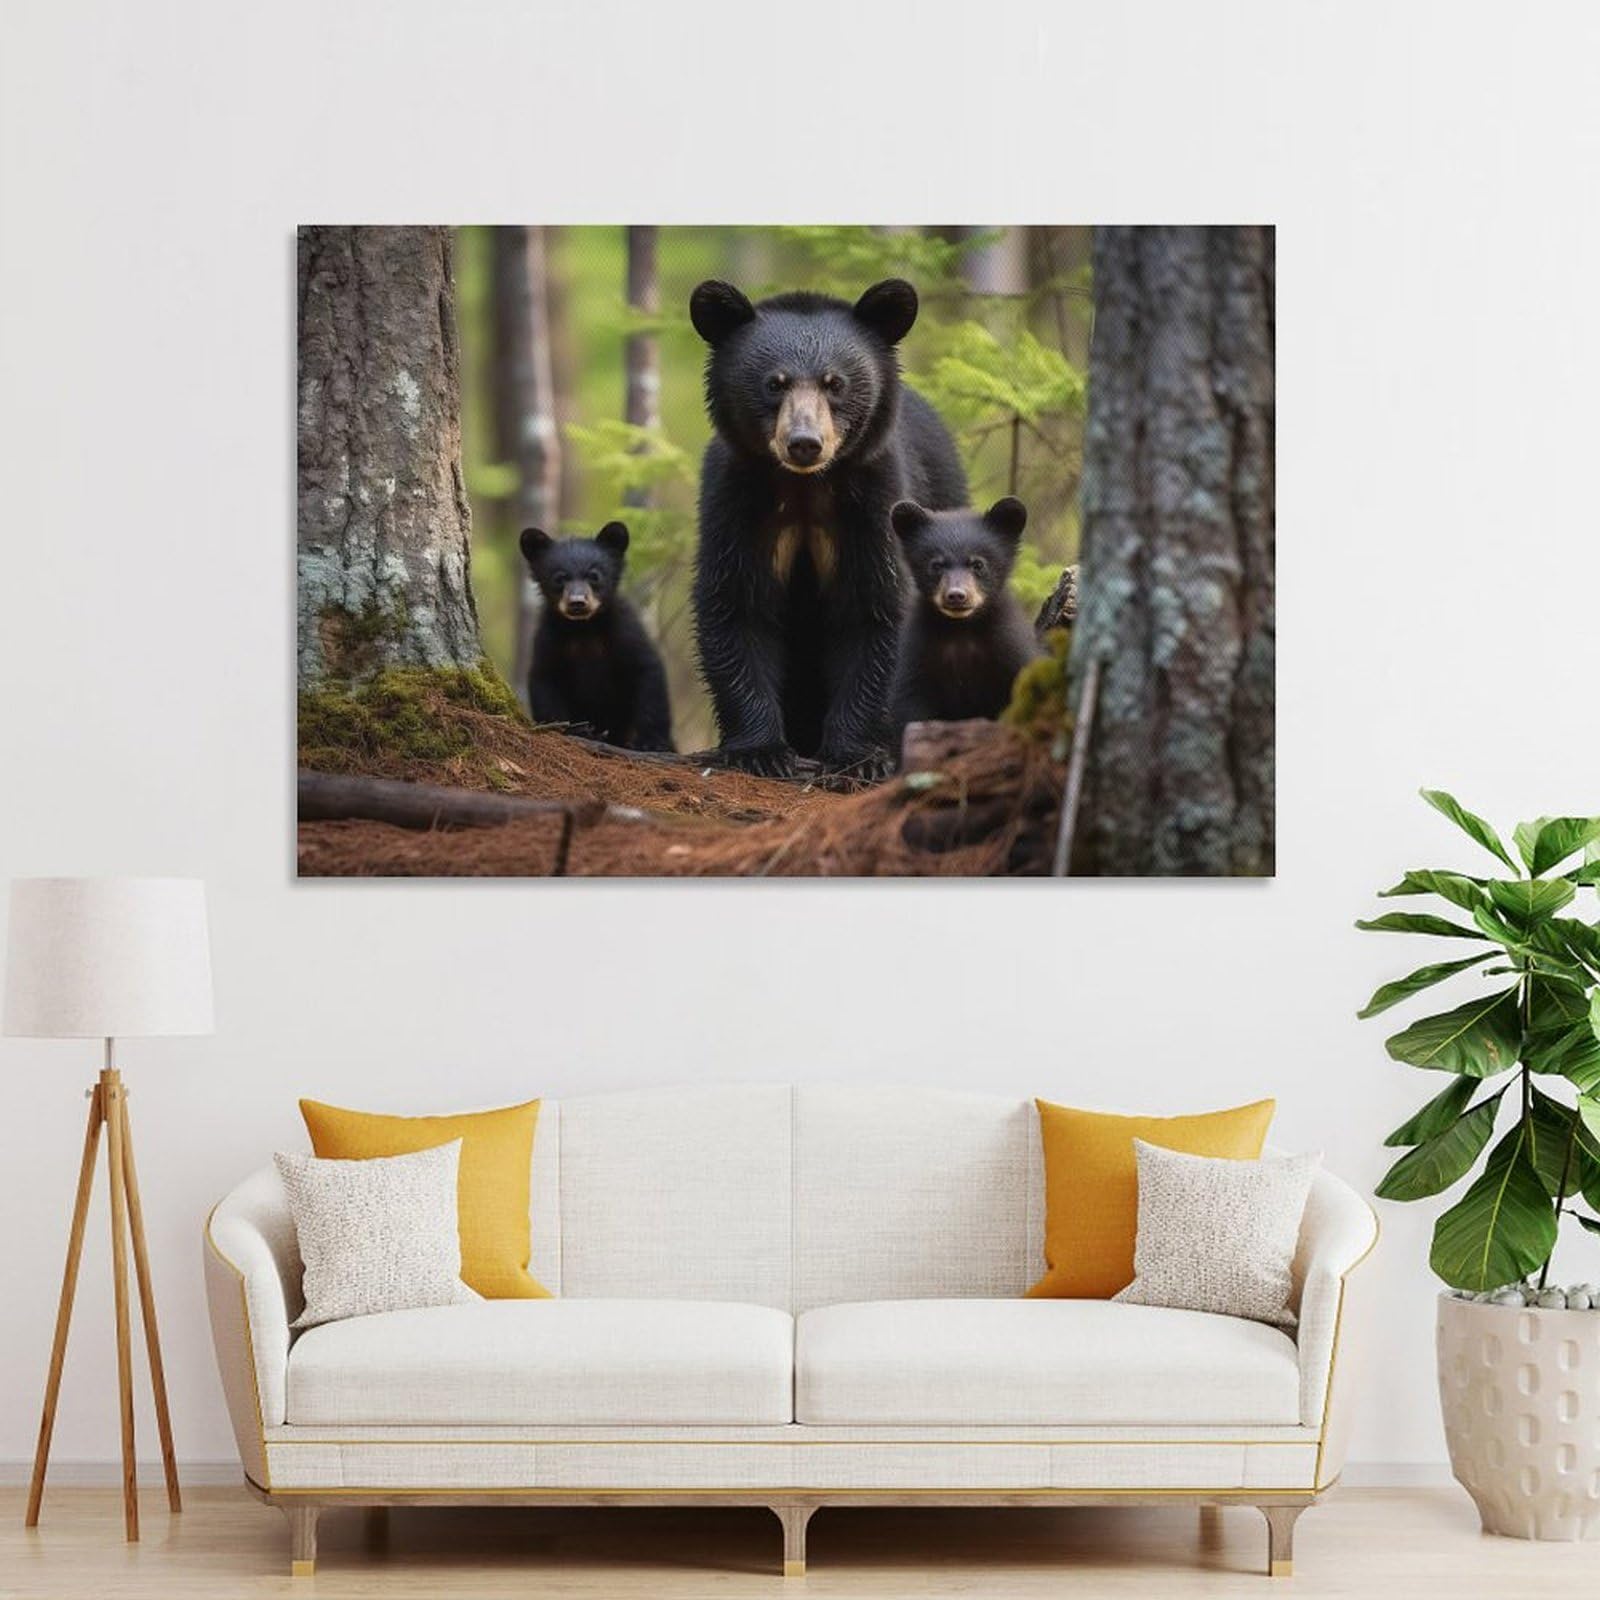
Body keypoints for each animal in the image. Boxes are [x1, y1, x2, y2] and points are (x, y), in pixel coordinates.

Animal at [518, 521, 675, 752]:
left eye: (594, 575)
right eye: (559, 578)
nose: (577, 602)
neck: (585, 629)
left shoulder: (625, 631)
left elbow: (648, 672)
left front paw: (652, 741)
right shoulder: (549, 639)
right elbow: (544, 679)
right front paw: (575, 730)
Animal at [689, 277, 967, 781]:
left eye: (834, 383)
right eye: (774, 383)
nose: (805, 443)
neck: (804, 487)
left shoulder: (875, 503)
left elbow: (875, 609)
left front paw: (857, 757)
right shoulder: (737, 500)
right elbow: (736, 604)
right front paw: (761, 750)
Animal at [888, 496, 1043, 740]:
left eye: (978, 564)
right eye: (936, 565)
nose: (956, 595)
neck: (961, 629)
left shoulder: (1009, 646)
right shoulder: (918, 652)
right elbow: (911, 705)